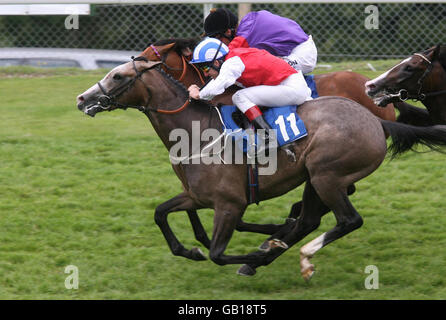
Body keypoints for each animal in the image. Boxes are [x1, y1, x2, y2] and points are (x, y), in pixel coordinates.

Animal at [76, 57, 446, 280]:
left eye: (118, 76)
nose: (82, 99)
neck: (196, 131)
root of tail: (375, 120)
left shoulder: (229, 203)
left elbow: (218, 253)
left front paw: (254, 252)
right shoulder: (197, 196)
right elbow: (160, 213)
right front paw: (190, 250)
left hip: (326, 175)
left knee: (348, 220)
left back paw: (290, 254)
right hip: (315, 178)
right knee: (310, 219)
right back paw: (278, 244)